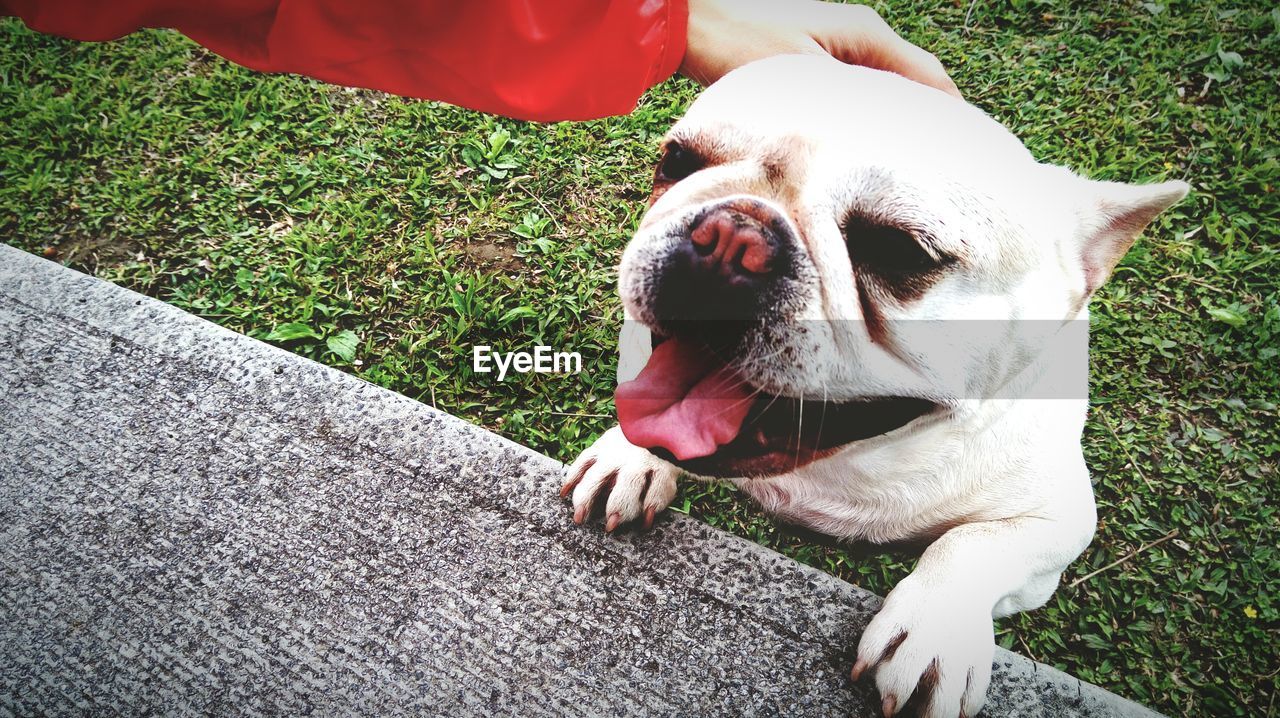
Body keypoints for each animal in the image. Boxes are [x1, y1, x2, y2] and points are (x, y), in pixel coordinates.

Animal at [563, 57, 1187, 716]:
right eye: (677, 161)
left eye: (899, 250)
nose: (732, 233)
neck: (844, 458)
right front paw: (630, 458)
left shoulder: (1055, 522)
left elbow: (973, 546)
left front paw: (937, 628)